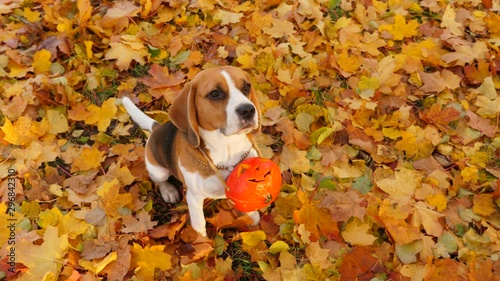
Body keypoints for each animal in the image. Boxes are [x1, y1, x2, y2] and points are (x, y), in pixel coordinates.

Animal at [122, 66, 260, 236]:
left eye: (246, 87)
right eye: (215, 93)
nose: (248, 110)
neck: (226, 149)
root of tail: (157, 128)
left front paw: (253, 217)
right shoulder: (194, 197)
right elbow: (199, 225)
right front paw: (201, 241)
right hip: (159, 170)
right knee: (159, 180)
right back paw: (168, 191)